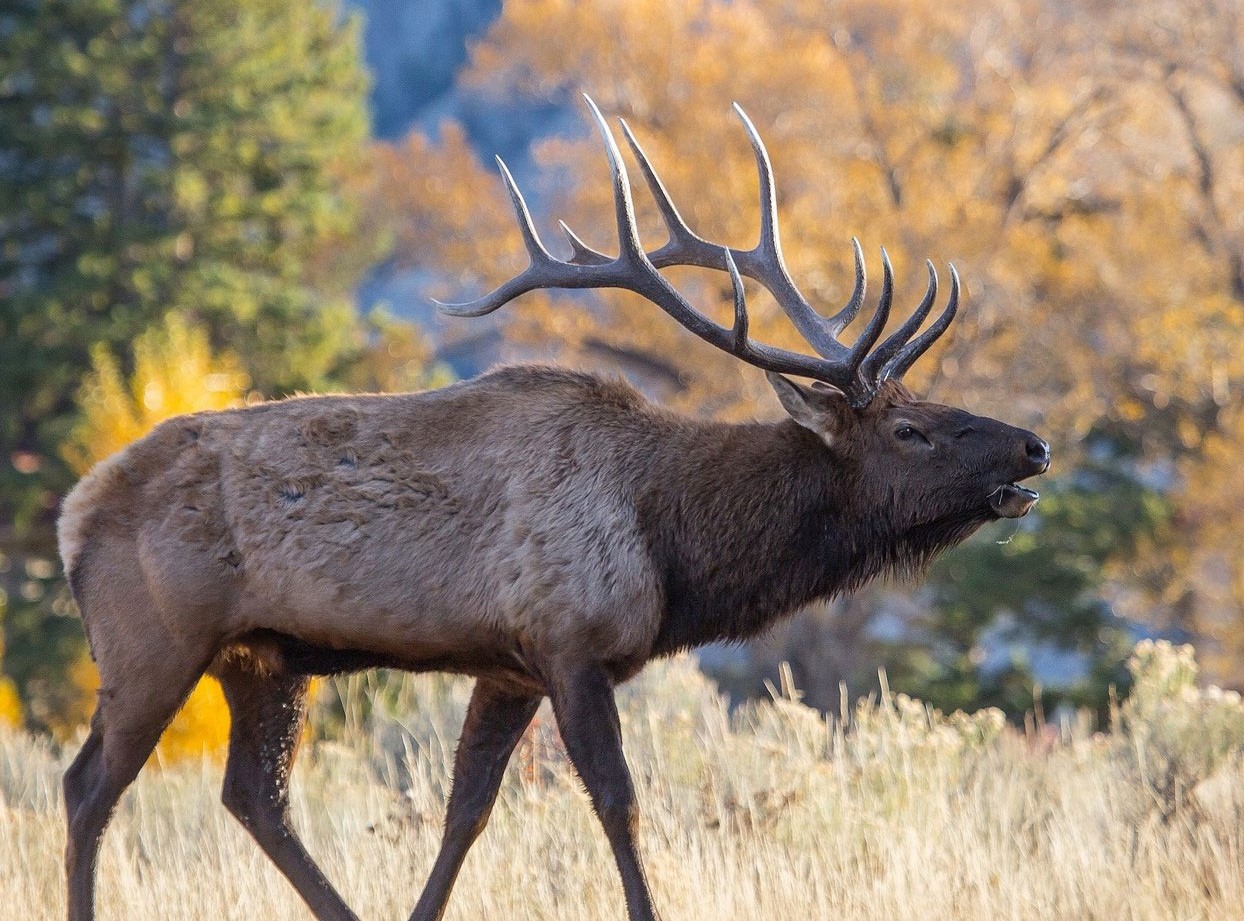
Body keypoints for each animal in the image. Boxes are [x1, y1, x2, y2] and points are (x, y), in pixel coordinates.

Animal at [60, 97, 1049, 916]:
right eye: (912, 430)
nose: (1034, 445)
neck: (673, 542)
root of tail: (72, 513)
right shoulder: (571, 641)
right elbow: (618, 803)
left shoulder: (510, 665)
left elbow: (465, 810)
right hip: (153, 641)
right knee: (88, 787)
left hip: (262, 656)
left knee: (254, 796)